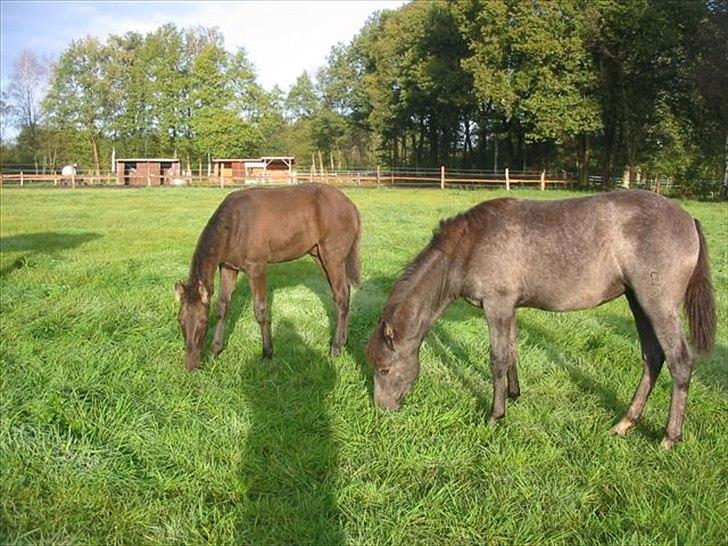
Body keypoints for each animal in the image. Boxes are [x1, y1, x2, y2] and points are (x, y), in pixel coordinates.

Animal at [174, 182, 362, 366]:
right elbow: (222, 307)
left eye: (203, 322)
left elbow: (261, 310)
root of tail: (351, 206)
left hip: (332, 257)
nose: (191, 365)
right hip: (318, 255)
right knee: (345, 292)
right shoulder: (228, 267)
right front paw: (215, 351)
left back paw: (335, 348)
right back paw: (344, 341)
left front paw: (267, 353)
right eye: (180, 320)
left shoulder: (257, 267)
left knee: (341, 296)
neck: (235, 225)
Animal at [370, 190, 716, 446]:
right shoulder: (509, 308)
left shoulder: (496, 305)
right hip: (638, 302)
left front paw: (495, 415)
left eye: (385, 369)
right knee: (652, 357)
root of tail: (688, 218)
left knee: (679, 361)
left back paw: (670, 437)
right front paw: (514, 395)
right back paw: (625, 423)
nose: (382, 409)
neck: (469, 246)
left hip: (658, 305)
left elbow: (497, 359)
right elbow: (511, 352)